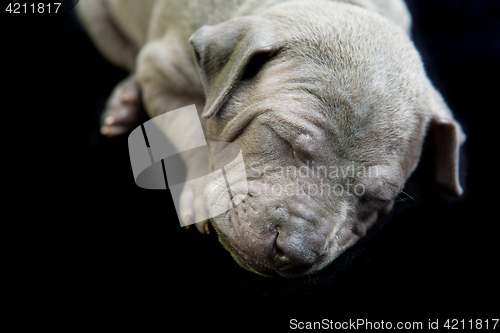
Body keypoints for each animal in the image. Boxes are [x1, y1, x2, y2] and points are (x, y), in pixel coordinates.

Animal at [77, 0, 464, 278]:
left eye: (377, 198)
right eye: (283, 138)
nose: (294, 249)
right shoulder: (162, 70)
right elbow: (193, 128)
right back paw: (125, 101)